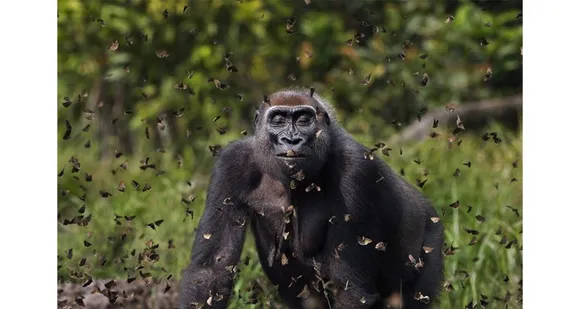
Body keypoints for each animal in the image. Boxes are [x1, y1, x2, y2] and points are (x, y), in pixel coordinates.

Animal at [180, 88, 444, 306]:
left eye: (304, 120)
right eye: (278, 120)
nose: (291, 140)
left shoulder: (356, 169)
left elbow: (351, 290)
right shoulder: (232, 163)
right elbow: (211, 271)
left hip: (431, 237)